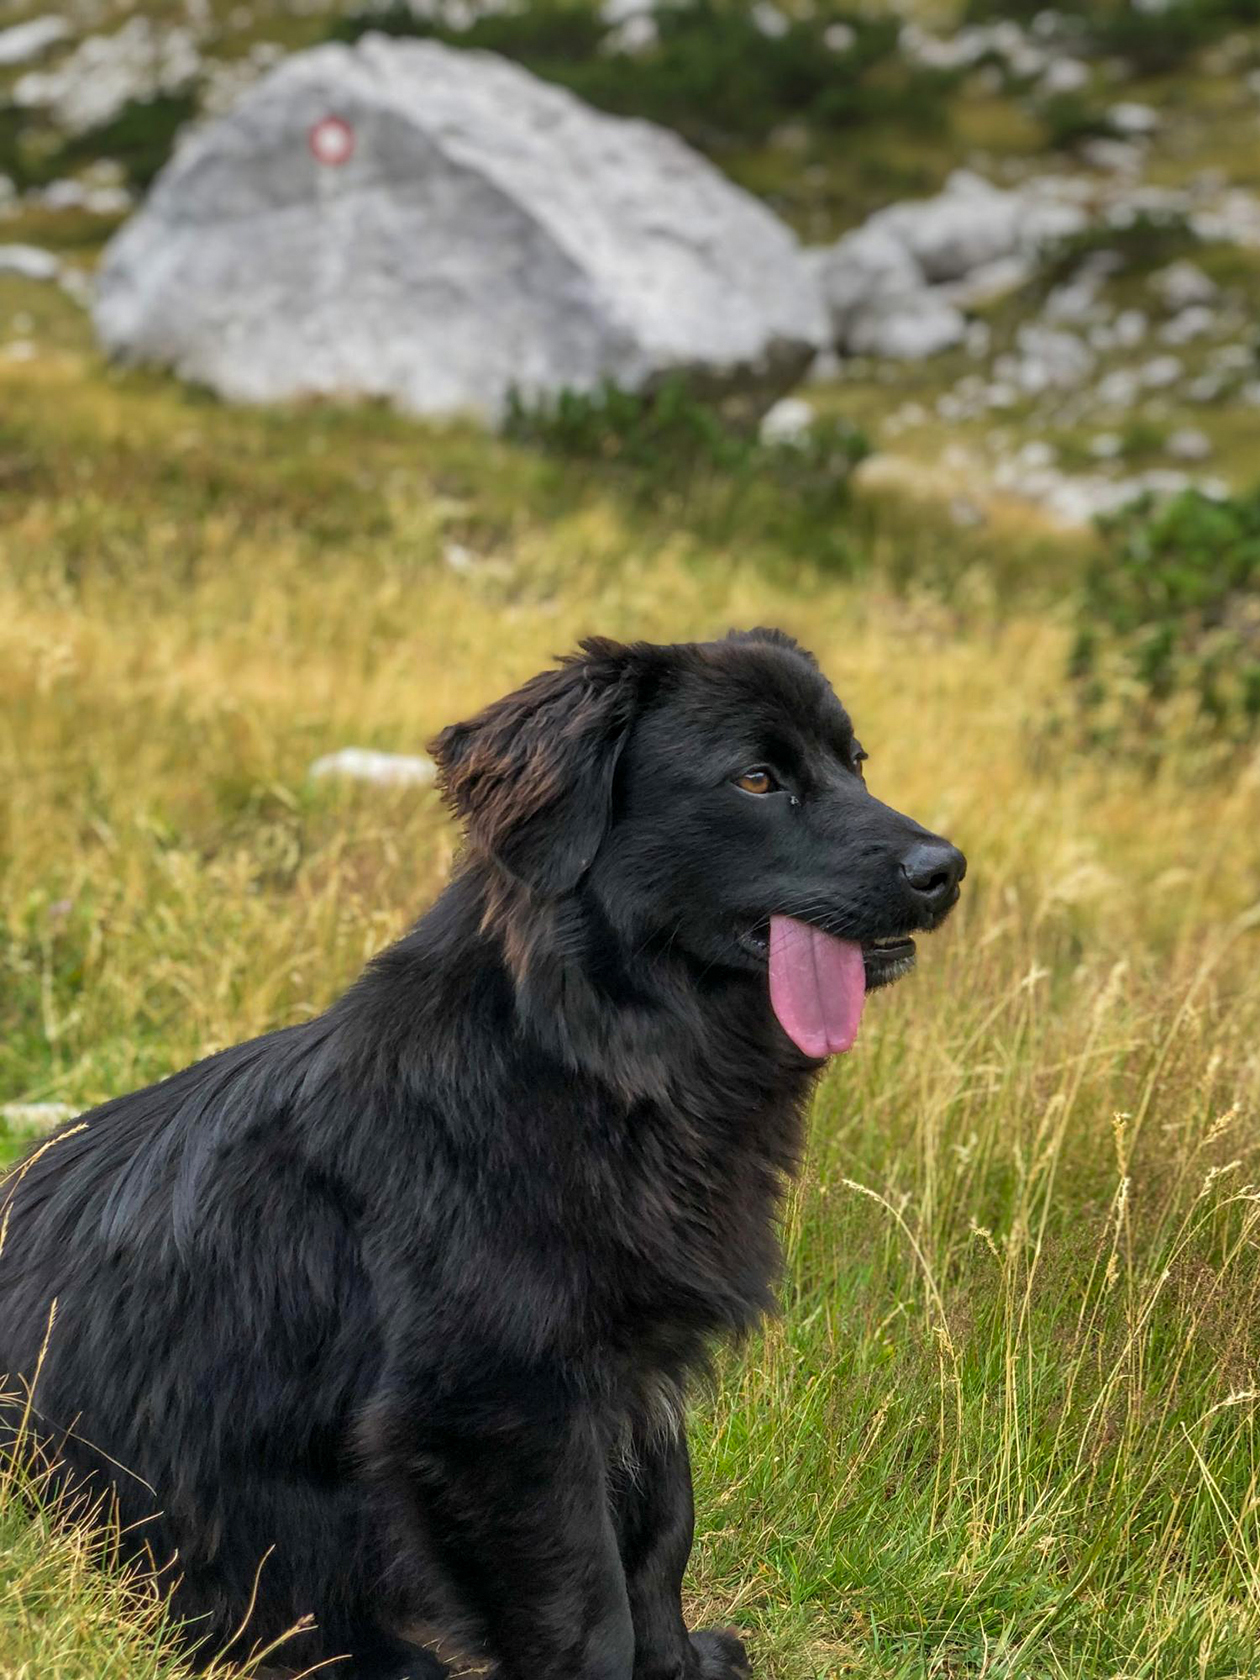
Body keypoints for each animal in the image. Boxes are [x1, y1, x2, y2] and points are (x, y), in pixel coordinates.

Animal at [0, 631, 967, 1680]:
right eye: (757, 778)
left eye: (855, 763)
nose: (948, 868)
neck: (587, 1058)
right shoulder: (498, 1412)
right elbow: (586, 1606)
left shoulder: (635, 1376)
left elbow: (662, 1537)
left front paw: (677, 1662)